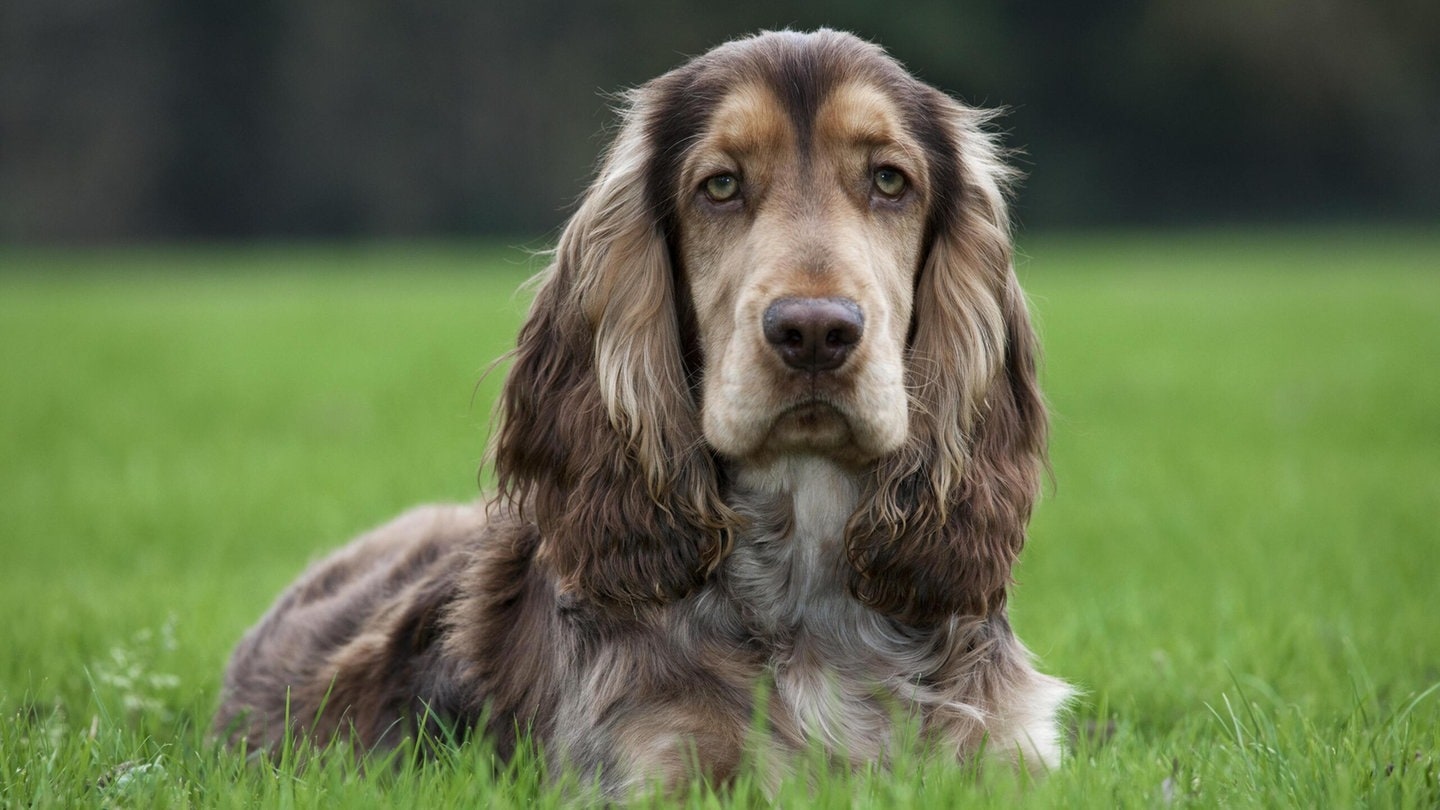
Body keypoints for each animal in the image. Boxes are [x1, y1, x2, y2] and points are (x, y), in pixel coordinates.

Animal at [213, 28, 1071, 789]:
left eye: (890, 180)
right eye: (719, 185)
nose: (815, 333)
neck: (810, 585)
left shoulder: (1006, 753)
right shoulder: (655, 763)